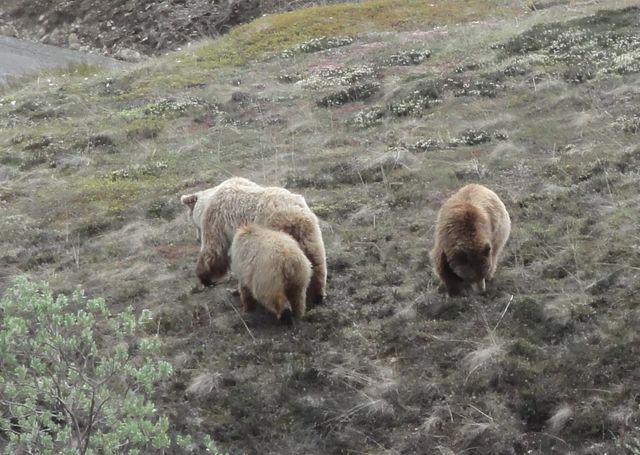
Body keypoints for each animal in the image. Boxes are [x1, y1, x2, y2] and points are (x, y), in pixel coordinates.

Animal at [182, 178, 328, 306]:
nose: (197, 238)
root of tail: (296, 214)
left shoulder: (216, 221)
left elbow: (214, 251)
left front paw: (205, 278)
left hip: (272, 233)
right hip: (309, 233)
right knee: (316, 261)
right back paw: (317, 294)